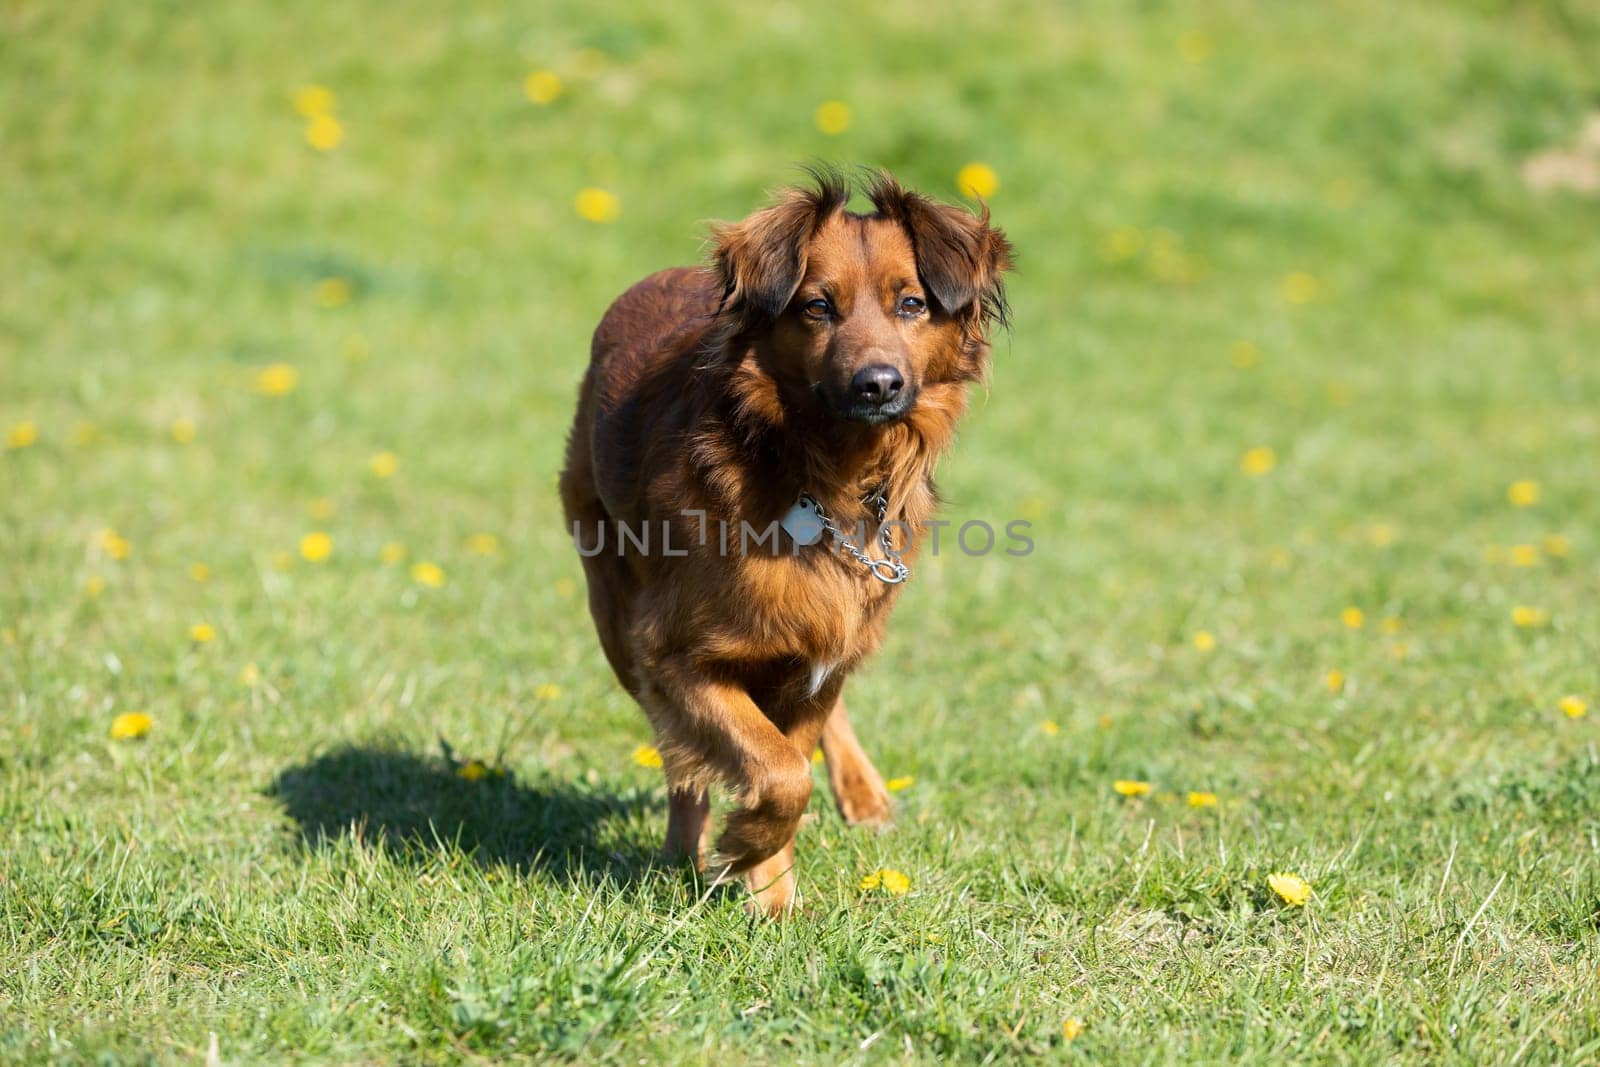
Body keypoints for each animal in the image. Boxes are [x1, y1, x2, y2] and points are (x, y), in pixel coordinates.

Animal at [563, 168, 1011, 921]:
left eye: (913, 303)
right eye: (817, 307)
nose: (878, 384)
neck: (827, 480)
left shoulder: (821, 652)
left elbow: (793, 759)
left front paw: (769, 887)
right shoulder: (674, 654)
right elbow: (774, 770)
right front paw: (740, 850)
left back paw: (861, 791)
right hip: (615, 616)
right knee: (680, 754)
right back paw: (683, 849)